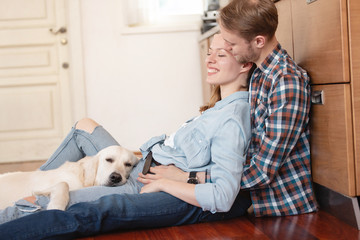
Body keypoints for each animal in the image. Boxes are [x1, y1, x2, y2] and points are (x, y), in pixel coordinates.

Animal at [0, 144, 139, 210]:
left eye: (128, 164)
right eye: (109, 160)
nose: (116, 177)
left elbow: (63, 184)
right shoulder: (36, 189)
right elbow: (63, 184)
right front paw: (56, 206)